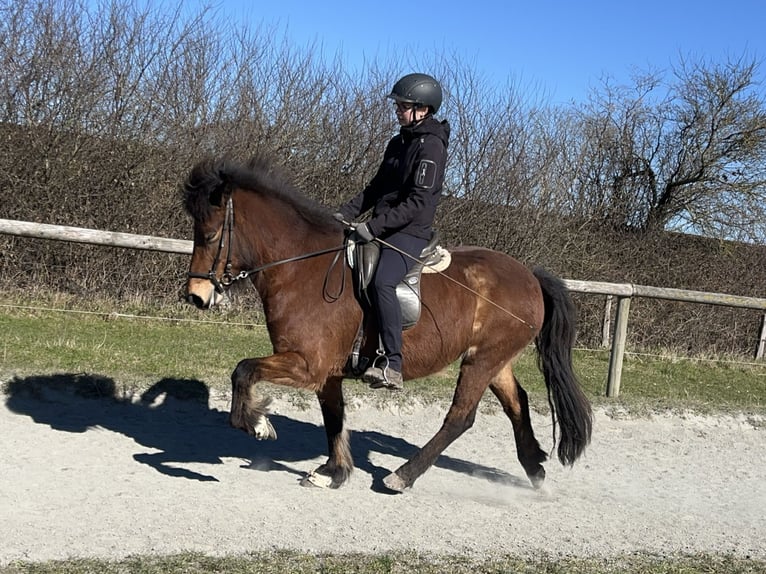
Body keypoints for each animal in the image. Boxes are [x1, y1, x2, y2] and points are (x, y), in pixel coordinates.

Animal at [182, 155, 592, 493]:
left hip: (483, 360)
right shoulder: (327, 372)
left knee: (460, 417)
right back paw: (535, 468)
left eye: (211, 235)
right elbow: (333, 416)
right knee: (516, 403)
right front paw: (333, 471)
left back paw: (402, 476)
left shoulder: (307, 364)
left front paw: (256, 422)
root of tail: (530, 276)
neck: (304, 267)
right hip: (493, 358)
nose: (196, 296)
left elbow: (243, 370)